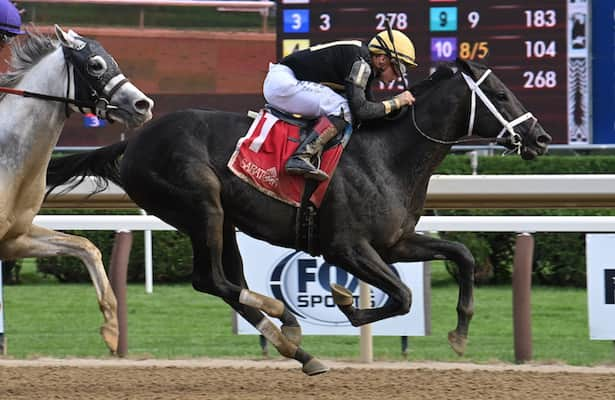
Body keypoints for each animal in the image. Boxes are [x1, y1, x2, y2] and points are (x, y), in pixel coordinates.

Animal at [45, 59, 552, 376]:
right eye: (501, 93)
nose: (541, 137)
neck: (387, 155)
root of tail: (133, 142)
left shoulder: (394, 242)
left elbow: (461, 254)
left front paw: (461, 333)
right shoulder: (346, 247)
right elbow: (403, 295)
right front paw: (346, 302)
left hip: (222, 221)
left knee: (224, 283)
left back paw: (299, 349)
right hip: (202, 205)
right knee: (212, 279)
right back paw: (284, 317)